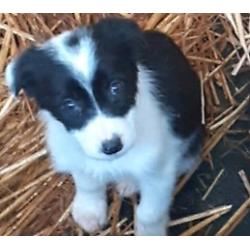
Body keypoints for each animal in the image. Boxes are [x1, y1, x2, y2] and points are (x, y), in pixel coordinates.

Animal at [5, 18, 204, 236]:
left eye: (115, 87)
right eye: (69, 105)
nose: (112, 147)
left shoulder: (159, 171)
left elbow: (149, 213)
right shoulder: (78, 155)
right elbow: (88, 183)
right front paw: (89, 212)